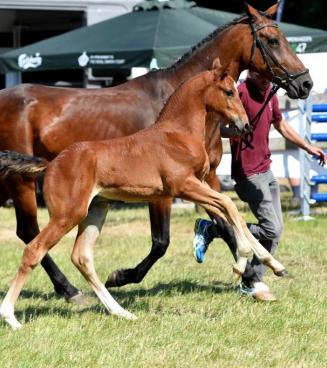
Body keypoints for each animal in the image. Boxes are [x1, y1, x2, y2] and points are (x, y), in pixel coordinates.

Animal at [0, 61, 286, 330]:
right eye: (229, 92)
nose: (245, 125)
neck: (178, 134)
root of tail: (50, 164)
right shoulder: (184, 186)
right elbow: (229, 206)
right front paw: (243, 261)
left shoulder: (198, 186)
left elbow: (229, 215)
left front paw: (272, 263)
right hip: (67, 214)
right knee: (33, 249)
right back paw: (11, 317)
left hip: (95, 210)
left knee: (82, 257)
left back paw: (120, 311)